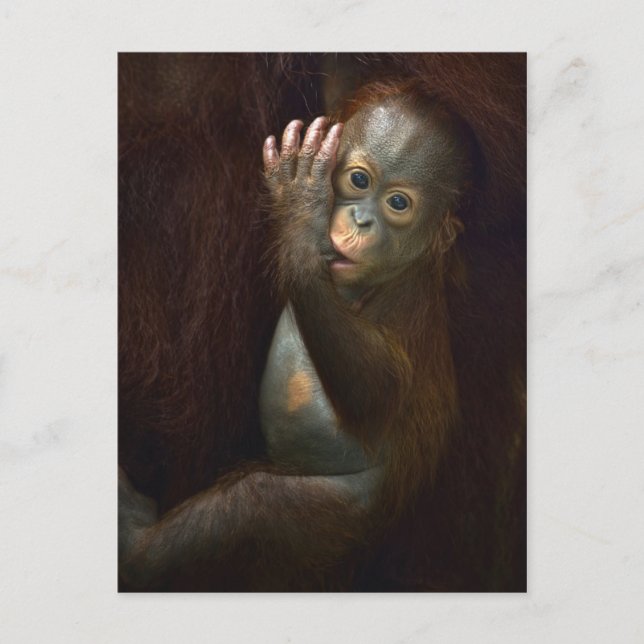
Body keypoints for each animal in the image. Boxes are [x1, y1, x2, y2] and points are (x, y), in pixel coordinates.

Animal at [118, 84, 475, 591]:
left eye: (398, 205)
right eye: (359, 179)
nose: (362, 220)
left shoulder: (405, 303)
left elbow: (377, 389)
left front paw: (301, 213)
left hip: (343, 513)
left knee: (256, 506)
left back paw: (135, 545)